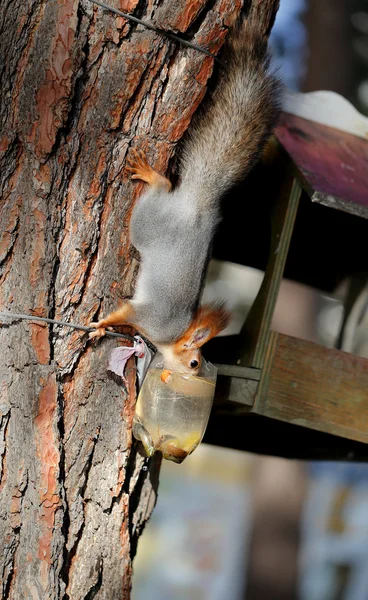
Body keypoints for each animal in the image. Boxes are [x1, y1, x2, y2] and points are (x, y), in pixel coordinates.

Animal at [88, 17, 282, 376]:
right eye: (194, 361)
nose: (192, 374)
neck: (172, 334)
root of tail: (196, 203)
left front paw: (102, 328)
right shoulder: (149, 316)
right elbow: (124, 312)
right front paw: (100, 324)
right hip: (147, 223)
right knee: (162, 187)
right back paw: (152, 175)